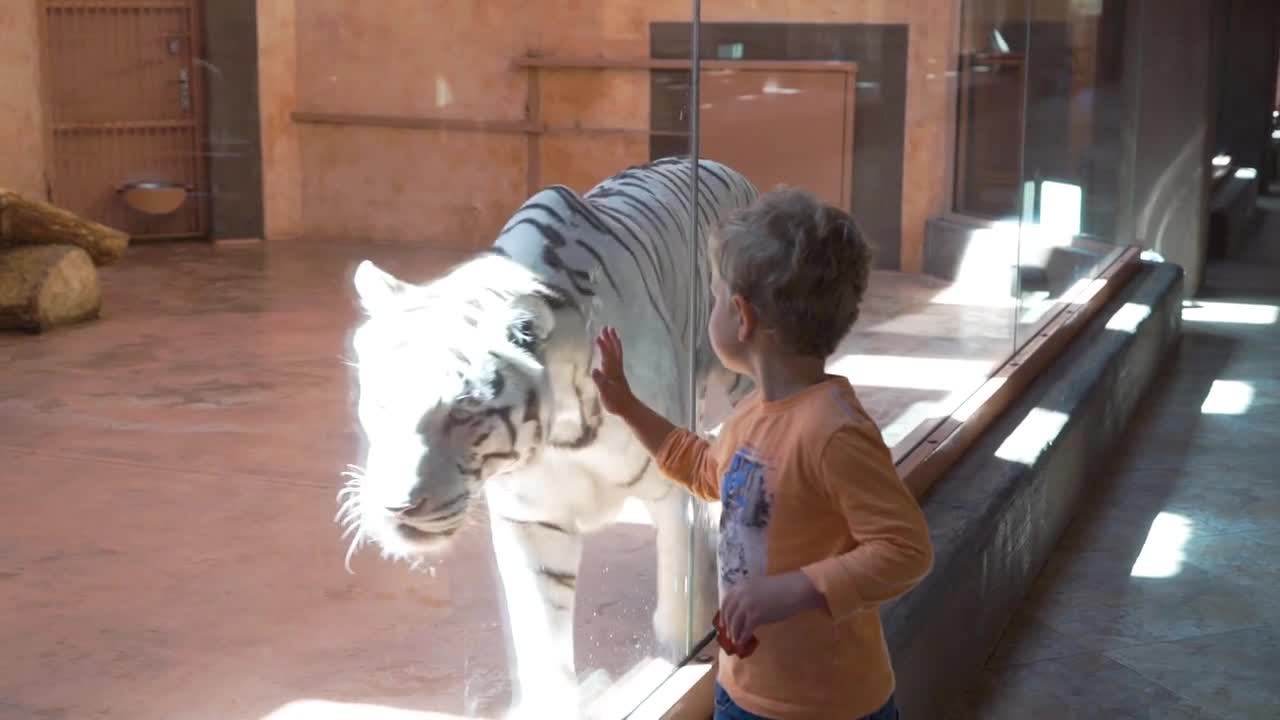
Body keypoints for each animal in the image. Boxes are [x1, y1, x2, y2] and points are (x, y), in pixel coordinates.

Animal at [340, 156, 757, 712]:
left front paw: (681, 654)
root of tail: (722, 165)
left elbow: (680, 585)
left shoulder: (672, 488)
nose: (397, 507)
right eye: (382, 402)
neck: (561, 435)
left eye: (464, 411)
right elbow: (541, 638)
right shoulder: (531, 520)